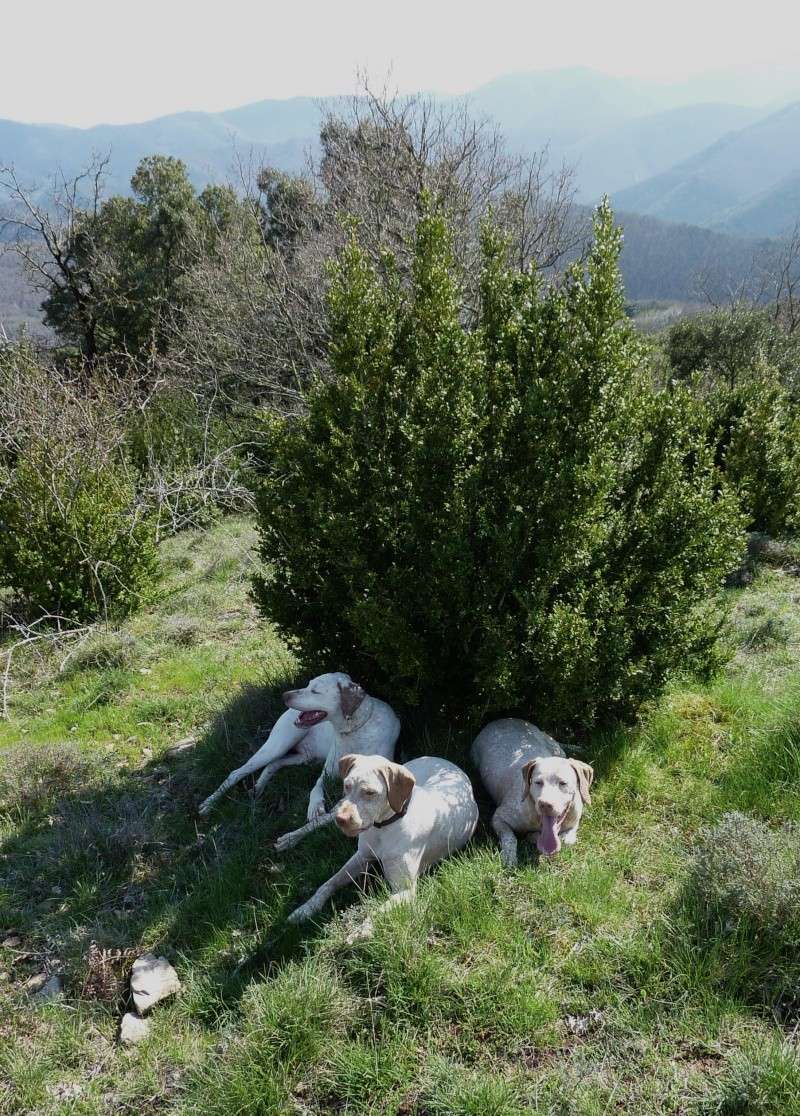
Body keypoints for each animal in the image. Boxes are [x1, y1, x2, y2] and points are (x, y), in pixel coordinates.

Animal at [199, 669, 399, 821]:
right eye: (308, 685)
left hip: (304, 758)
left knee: (273, 765)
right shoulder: (328, 772)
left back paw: (259, 787)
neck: (355, 729)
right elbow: (316, 787)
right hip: (276, 747)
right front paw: (315, 806)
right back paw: (208, 804)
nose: (284, 695)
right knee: (236, 773)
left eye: (315, 691)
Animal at [285, 749, 477, 932]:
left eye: (370, 793)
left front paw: (361, 932)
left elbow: (378, 912)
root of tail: (439, 759)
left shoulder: (404, 889)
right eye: (347, 785)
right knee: (321, 820)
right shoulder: (361, 857)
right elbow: (328, 883)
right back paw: (289, 839)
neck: (382, 828)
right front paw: (305, 909)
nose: (341, 820)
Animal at [468, 718, 593, 866]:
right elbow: (510, 838)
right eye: (538, 782)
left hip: (553, 746)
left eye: (563, 783)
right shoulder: (498, 818)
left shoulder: (574, 819)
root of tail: (502, 719)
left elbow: (569, 838)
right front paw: (509, 857)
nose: (545, 805)